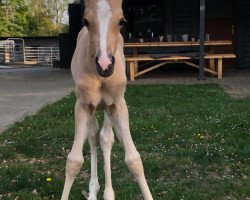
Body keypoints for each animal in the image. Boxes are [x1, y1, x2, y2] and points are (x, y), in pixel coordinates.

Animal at [61, 0, 153, 199]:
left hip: (108, 107)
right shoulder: (82, 105)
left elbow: (134, 159)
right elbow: (74, 161)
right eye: (85, 21)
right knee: (93, 136)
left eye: (122, 21)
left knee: (105, 138)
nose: (105, 65)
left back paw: (108, 193)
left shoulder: (118, 104)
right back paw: (93, 190)